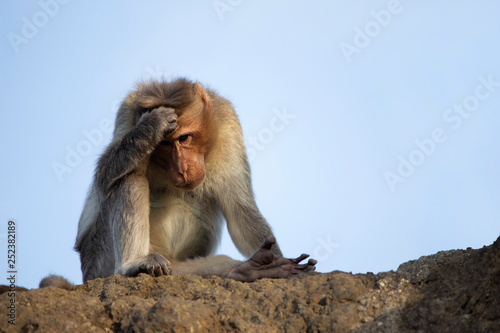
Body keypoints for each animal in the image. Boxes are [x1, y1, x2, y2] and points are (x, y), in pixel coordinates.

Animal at [73, 78, 316, 282]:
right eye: (164, 143)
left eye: (184, 138)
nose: (182, 169)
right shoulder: (126, 113)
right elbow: (103, 179)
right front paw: (149, 127)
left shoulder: (228, 123)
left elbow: (240, 210)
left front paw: (274, 261)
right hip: (97, 263)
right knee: (131, 179)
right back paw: (132, 265)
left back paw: (246, 269)